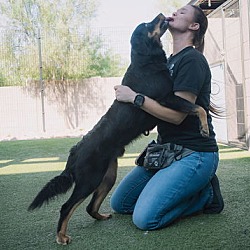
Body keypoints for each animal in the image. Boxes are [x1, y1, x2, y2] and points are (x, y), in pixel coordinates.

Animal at [27, 13, 209, 244]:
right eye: (148, 24)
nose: (161, 15)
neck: (145, 61)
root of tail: (74, 152)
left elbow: (197, 107)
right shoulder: (167, 98)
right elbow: (198, 108)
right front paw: (204, 128)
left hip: (108, 176)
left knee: (89, 206)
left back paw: (100, 216)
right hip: (89, 179)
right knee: (67, 207)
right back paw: (62, 236)